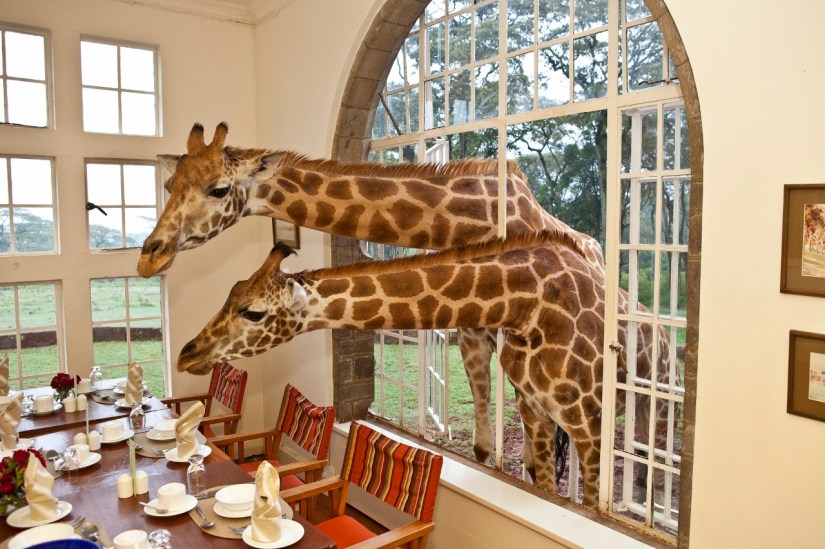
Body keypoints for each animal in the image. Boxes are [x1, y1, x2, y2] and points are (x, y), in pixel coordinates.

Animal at [137, 122, 606, 473]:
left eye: (218, 189)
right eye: (169, 183)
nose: (148, 256)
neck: (469, 221)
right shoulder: (472, 336)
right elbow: (484, 448)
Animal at [177, 231, 612, 507]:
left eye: (253, 312)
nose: (186, 354)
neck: (528, 301)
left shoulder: (591, 426)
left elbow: (589, 501)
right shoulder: (536, 410)